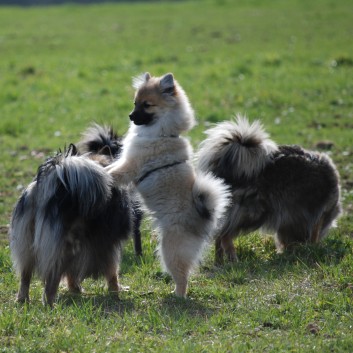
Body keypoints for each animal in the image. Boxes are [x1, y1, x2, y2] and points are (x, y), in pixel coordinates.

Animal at [8, 124, 140, 306]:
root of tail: (51, 183)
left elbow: (71, 273)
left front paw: (75, 290)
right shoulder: (107, 244)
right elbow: (112, 272)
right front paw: (116, 293)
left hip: (27, 245)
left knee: (25, 277)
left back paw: (23, 300)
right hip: (60, 247)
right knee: (51, 282)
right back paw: (50, 305)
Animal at [106, 72, 230, 296]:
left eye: (147, 105)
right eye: (135, 103)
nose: (130, 116)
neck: (161, 132)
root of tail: (205, 217)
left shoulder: (130, 167)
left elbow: (113, 173)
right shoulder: (124, 162)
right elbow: (110, 168)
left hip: (170, 248)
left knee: (182, 276)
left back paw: (177, 295)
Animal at [197, 114, 340, 262]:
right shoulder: (317, 214)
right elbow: (313, 233)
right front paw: (311, 247)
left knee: (219, 236)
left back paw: (219, 261)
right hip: (253, 212)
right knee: (225, 235)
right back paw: (233, 259)